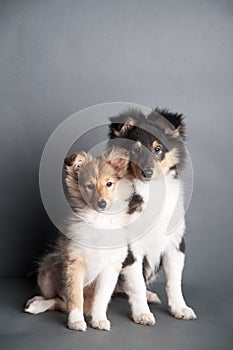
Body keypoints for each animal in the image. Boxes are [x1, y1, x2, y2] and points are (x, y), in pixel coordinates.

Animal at [24, 147, 136, 330]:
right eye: (89, 186)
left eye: (109, 184)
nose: (102, 204)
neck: (99, 221)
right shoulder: (75, 262)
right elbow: (75, 296)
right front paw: (76, 321)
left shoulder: (110, 268)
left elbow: (101, 298)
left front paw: (99, 319)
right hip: (45, 271)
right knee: (58, 299)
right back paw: (37, 302)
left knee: (64, 303)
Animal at [109, 106, 197, 322]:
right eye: (136, 149)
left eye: (158, 149)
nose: (147, 173)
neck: (152, 190)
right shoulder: (131, 249)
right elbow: (137, 284)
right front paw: (142, 314)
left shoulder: (175, 244)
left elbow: (174, 282)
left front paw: (180, 309)